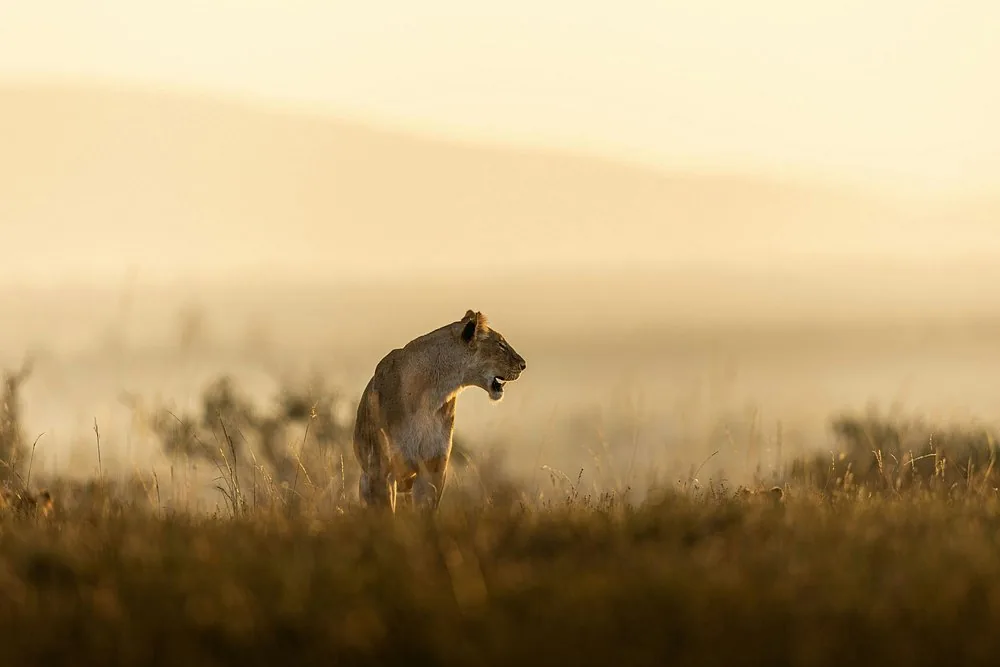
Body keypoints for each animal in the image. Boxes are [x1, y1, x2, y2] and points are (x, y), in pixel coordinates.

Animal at [353, 309, 526, 512]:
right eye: (500, 344)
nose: (523, 365)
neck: (431, 394)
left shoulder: (433, 468)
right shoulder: (381, 471)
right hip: (366, 479)